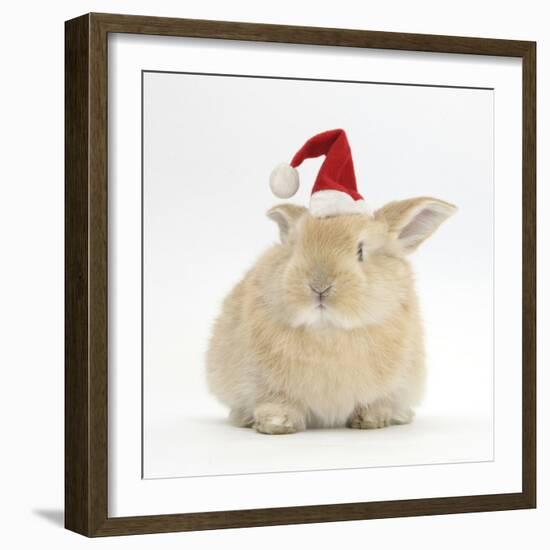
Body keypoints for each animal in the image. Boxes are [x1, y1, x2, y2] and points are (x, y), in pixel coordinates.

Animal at [207, 198, 458, 436]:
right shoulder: (266, 385)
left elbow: (376, 401)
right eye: (295, 248)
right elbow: (277, 401)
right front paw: (277, 423)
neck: (327, 330)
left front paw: (371, 420)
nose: (319, 287)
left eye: (360, 251)